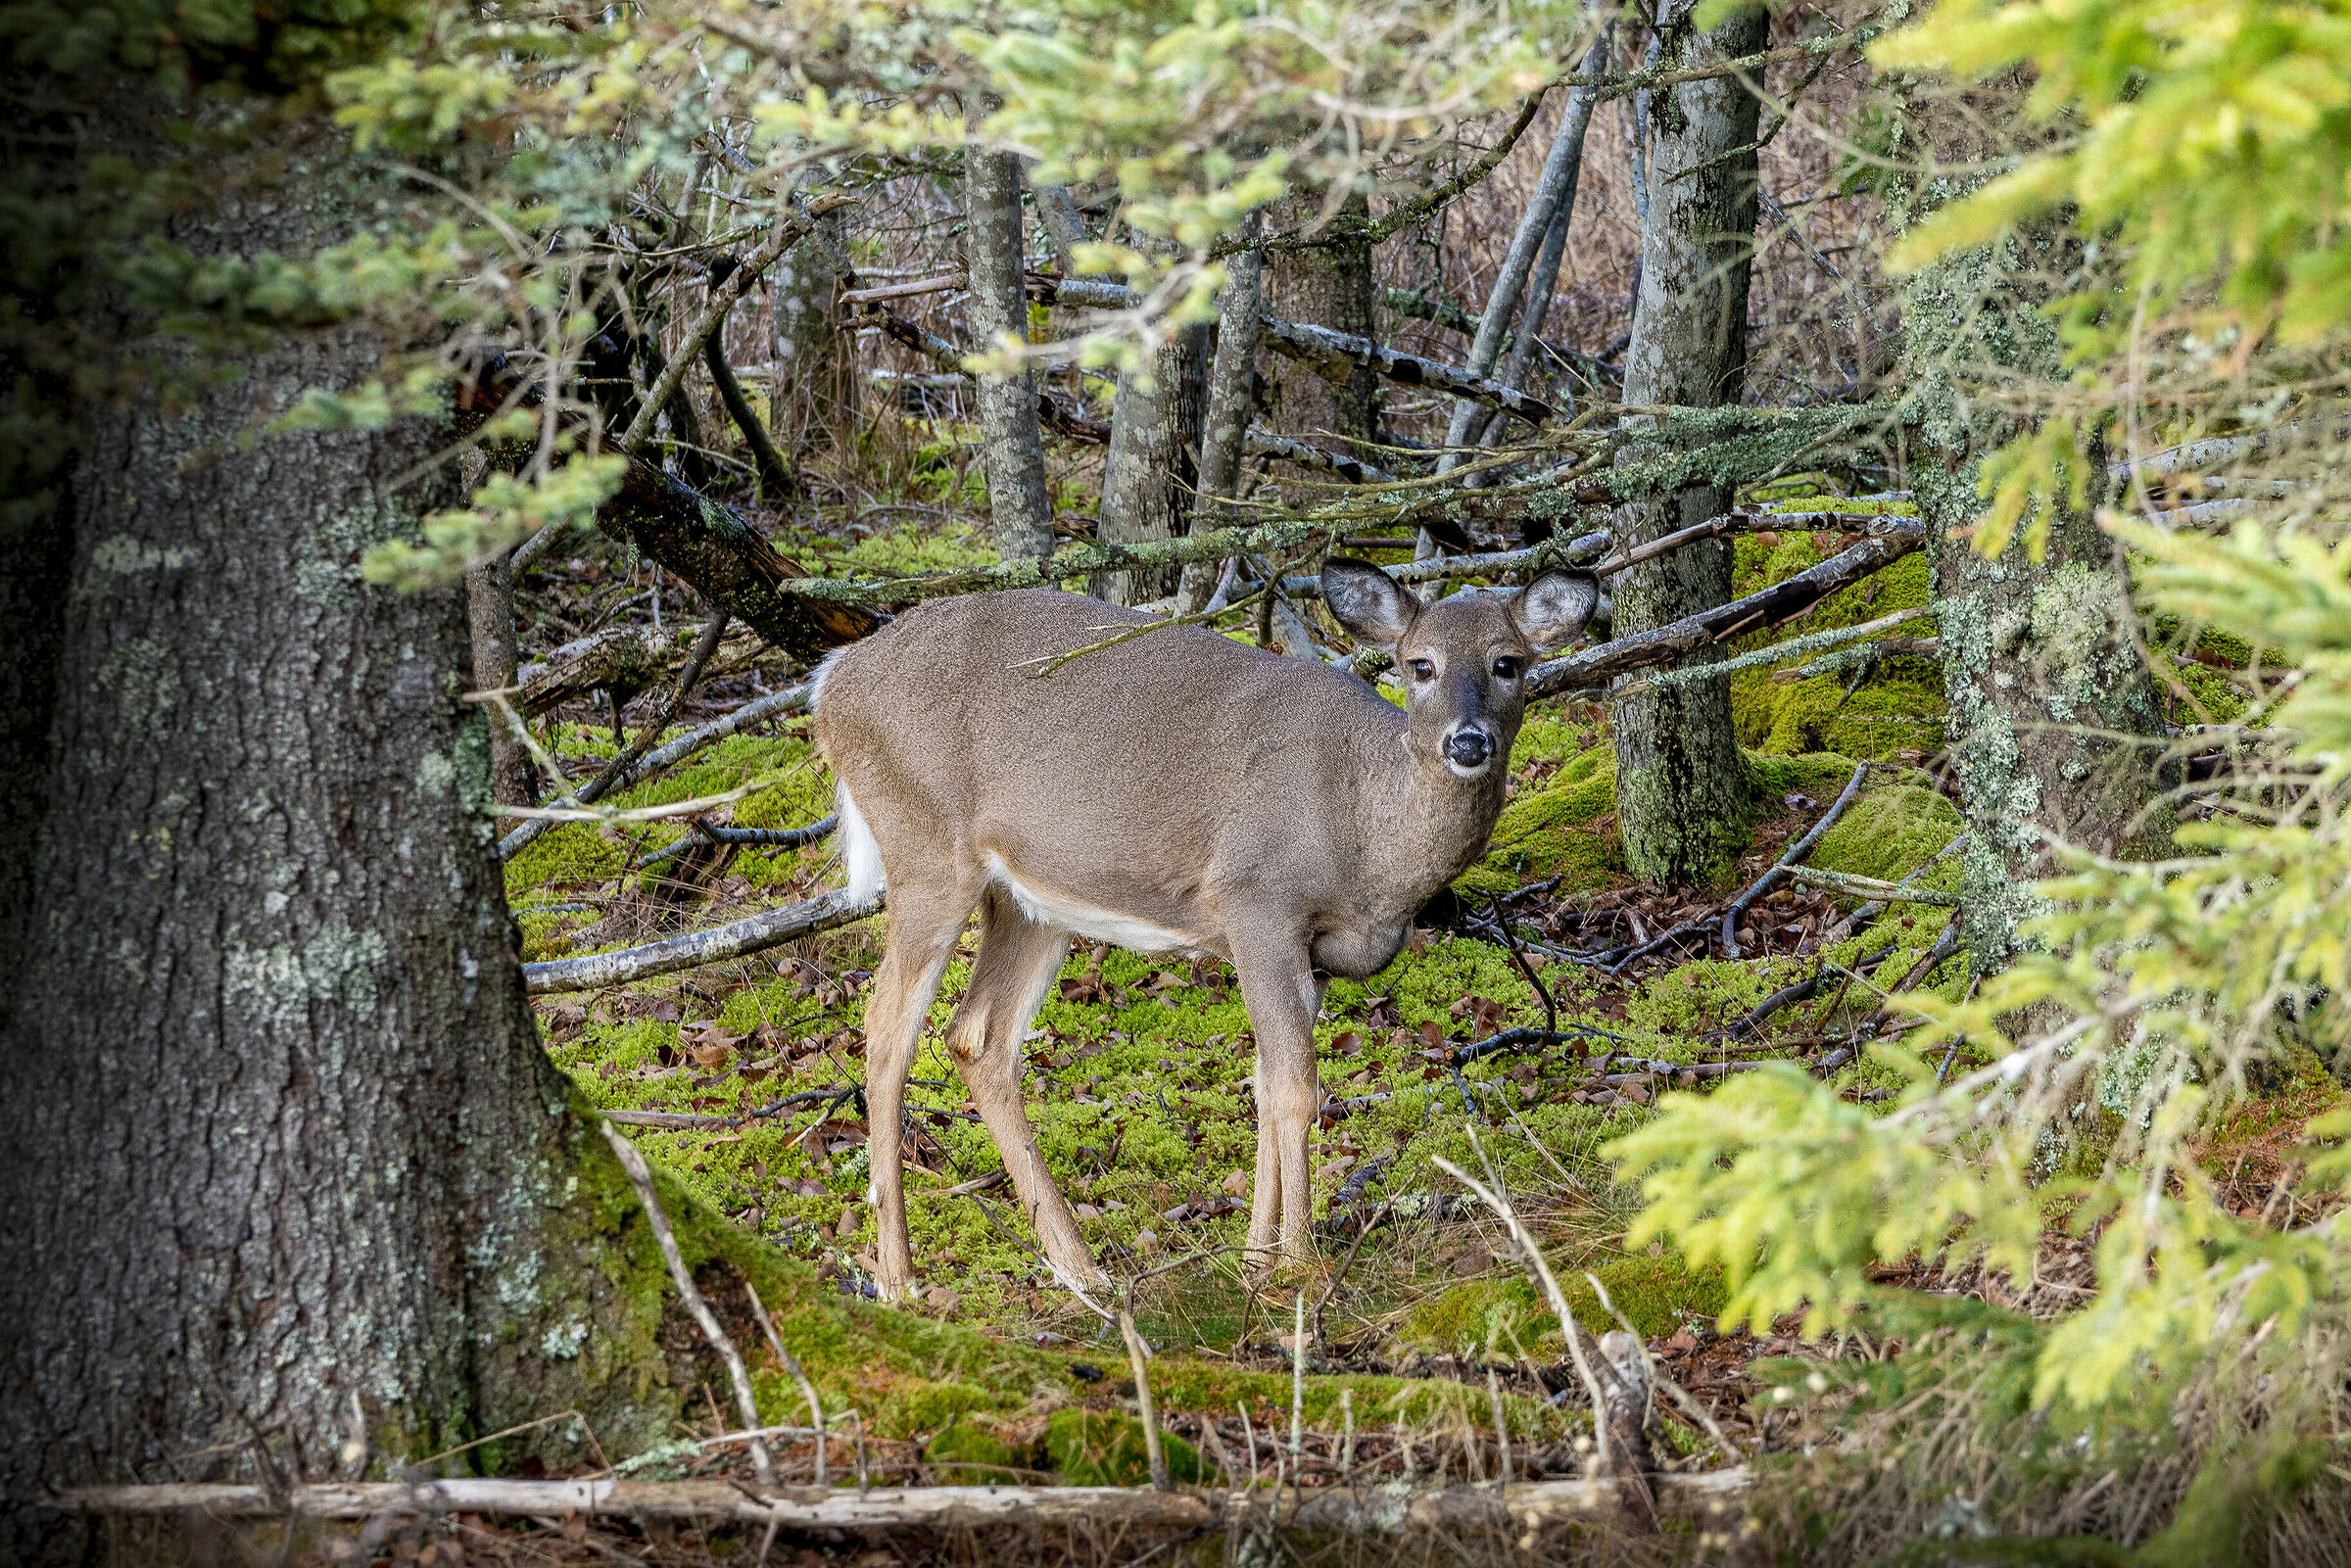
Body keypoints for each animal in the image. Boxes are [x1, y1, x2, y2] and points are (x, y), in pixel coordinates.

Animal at [809, 556, 1599, 1302]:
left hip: (1032, 900)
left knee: (978, 1037)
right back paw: (899, 1277)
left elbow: (1265, 1084)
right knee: (886, 1032)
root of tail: (829, 681)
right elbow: (1295, 1089)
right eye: (1420, 664)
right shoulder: (1257, 902)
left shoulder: (1306, 953)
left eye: (1508, 662)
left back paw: (1083, 1271)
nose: (1468, 743)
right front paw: (1300, 1266)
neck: (1368, 837)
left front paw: (1255, 1260)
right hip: (926, 848)